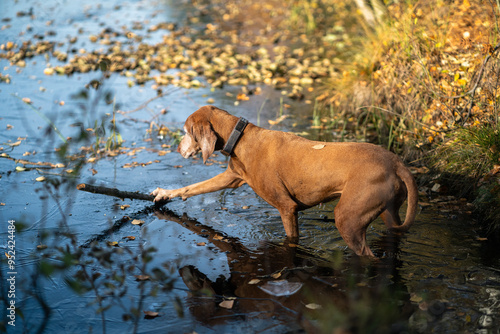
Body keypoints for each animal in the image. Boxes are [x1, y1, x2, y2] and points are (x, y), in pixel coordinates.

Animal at [152, 105, 418, 258]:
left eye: (185, 132)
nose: (178, 149)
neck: (241, 139)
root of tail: (396, 162)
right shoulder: (231, 178)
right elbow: (193, 187)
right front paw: (165, 193)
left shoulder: (287, 207)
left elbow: (291, 239)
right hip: (387, 212)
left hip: (348, 219)